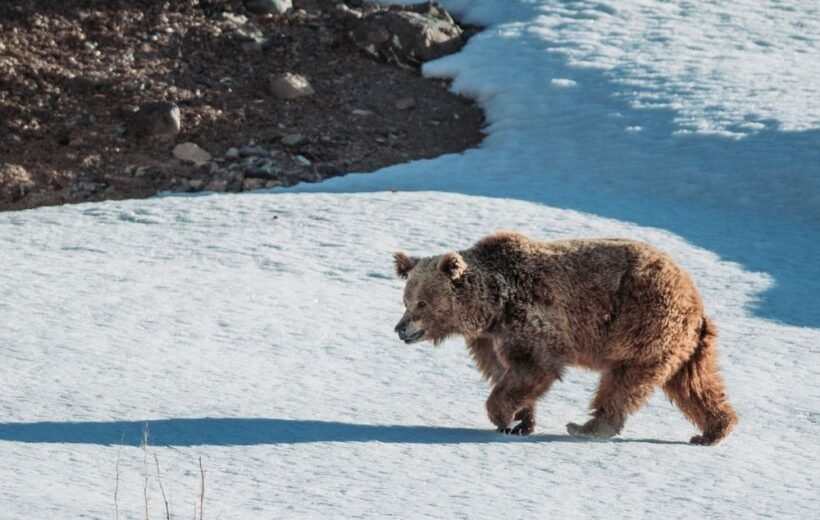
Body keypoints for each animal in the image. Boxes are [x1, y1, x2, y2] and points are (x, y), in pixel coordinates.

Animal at [394, 231, 740, 442]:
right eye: (406, 300)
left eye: (422, 303)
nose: (400, 329)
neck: (491, 307)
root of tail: (693, 296)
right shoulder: (488, 339)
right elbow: (506, 372)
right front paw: (522, 421)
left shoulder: (528, 318)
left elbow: (535, 367)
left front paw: (502, 416)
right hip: (684, 343)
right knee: (695, 384)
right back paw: (713, 430)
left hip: (641, 321)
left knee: (623, 380)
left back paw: (587, 426)